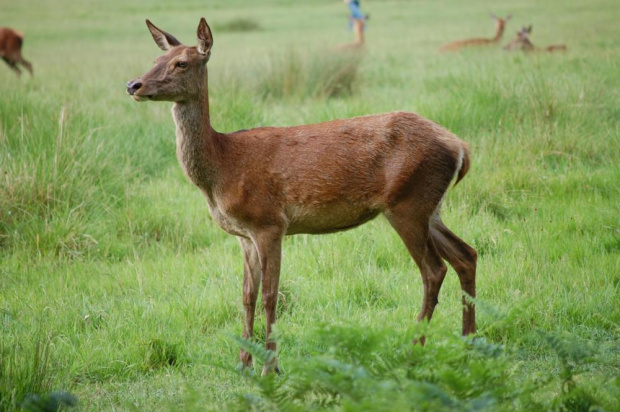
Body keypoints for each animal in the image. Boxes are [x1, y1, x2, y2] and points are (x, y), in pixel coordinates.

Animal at [123, 17, 478, 374]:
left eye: (182, 63)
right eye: (156, 59)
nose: (133, 84)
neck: (222, 168)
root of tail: (461, 147)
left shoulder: (268, 222)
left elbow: (270, 294)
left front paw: (270, 366)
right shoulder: (243, 235)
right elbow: (247, 295)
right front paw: (243, 364)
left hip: (407, 202)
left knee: (433, 270)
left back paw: (414, 350)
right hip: (430, 207)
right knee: (466, 254)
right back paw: (469, 342)